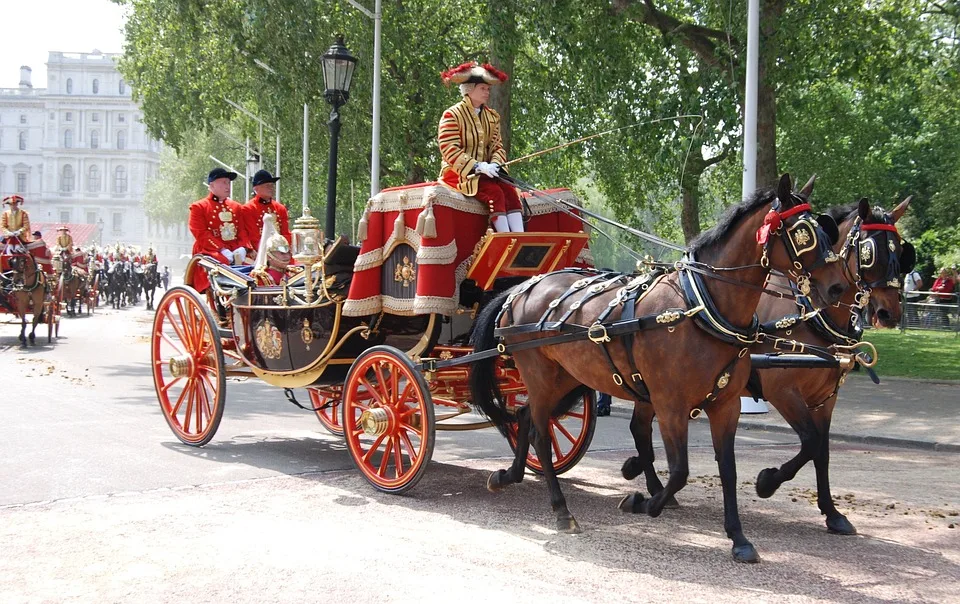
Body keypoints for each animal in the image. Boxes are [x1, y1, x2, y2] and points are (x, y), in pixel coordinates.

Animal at [468, 173, 844, 560]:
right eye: (803, 232)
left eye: (825, 230)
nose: (836, 288)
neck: (700, 308)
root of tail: (522, 288)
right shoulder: (671, 405)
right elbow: (679, 470)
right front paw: (642, 502)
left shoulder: (727, 405)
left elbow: (728, 468)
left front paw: (738, 537)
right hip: (541, 376)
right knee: (541, 434)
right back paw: (561, 509)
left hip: (566, 379)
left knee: (525, 418)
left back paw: (508, 476)